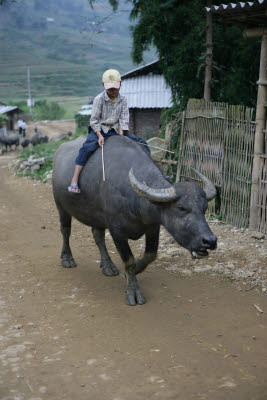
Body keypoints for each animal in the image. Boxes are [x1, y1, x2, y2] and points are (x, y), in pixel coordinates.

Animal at [52, 136, 218, 304]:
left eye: (204, 208)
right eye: (181, 208)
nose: (210, 241)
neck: (135, 199)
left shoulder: (153, 227)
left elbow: (150, 255)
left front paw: (135, 270)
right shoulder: (117, 231)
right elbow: (129, 261)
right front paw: (133, 291)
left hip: (96, 217)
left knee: (98, 236)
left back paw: (108, 266)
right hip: (61, 205)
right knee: (65, 230)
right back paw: (67, 259)